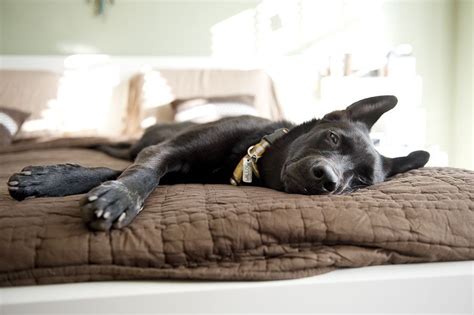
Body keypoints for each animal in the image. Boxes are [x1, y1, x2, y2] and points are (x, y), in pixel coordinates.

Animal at [6, 95, 430, 231]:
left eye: (360, 181)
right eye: (333, 138)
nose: (328, 180)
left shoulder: (171, 169)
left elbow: (119, 175)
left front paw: (52, 181)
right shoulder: (165, 153)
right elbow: (138, 175)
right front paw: (117, 197)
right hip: (140, 141)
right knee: (112, 149)